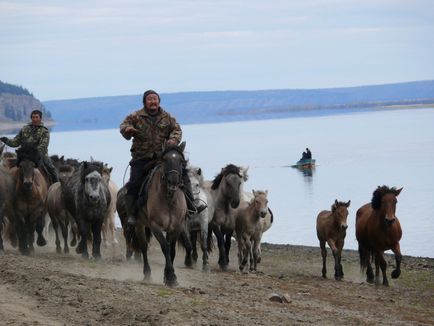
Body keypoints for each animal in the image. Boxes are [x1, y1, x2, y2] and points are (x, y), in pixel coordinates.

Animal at [133, 141, 186, 286]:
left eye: (181, 161)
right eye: (165, 160)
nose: (173, 181)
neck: (169, 199)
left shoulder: (176, 227)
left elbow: (171, 250)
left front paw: (168, 277)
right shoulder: (155, 226)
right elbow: (165, 248)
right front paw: (171, 276)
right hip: (139, 225)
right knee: (144, 247)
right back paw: (147, 274)